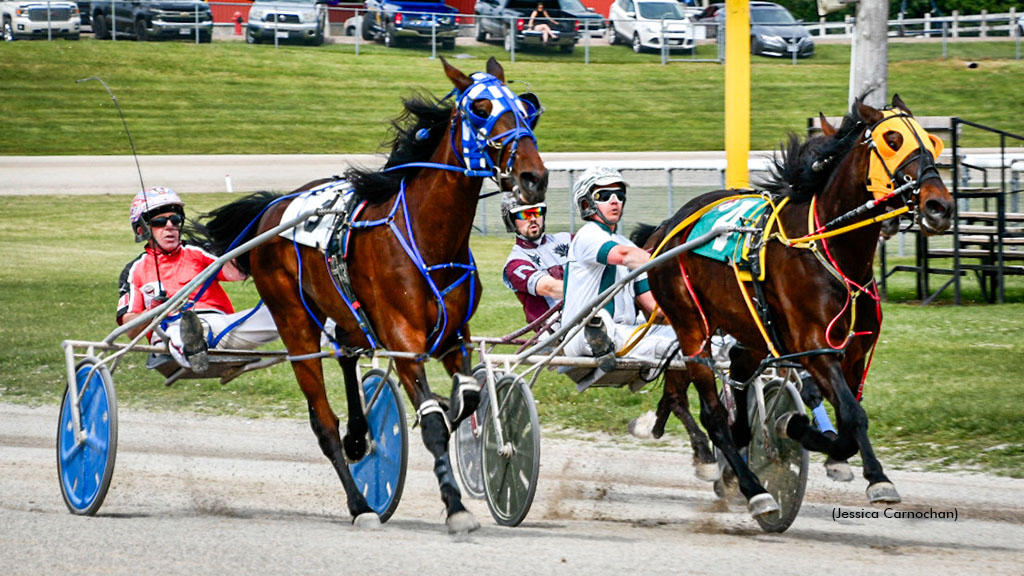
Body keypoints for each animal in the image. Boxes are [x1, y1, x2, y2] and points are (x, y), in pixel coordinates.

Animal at [190, 56, 544, 532]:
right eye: (481, 109)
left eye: (526, 110)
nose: (534, 177)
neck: (429, 238)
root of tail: (271, 208)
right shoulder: (403, 339)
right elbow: (432, 423)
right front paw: (455, 507)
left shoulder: (455, 336)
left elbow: (466, 398)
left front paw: (451, 414)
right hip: (295, 322)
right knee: (322, 420)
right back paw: (360, 503)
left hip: (348, 314)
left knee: (345, 352)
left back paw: (359, 437)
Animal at [630, 95, 950, 516]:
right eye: (892, 139)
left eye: (932, 141)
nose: (939, 206)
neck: (829, 247)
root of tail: (668, 227)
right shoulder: (813, 346)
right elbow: (851, 416)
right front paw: (801, 431)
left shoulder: (855, 350)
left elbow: (851, 417)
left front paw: (861, 468)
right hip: (691, 328)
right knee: (712, 413)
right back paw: (753, 488)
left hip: (749, 331)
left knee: (732, 376)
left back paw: (735, 459)